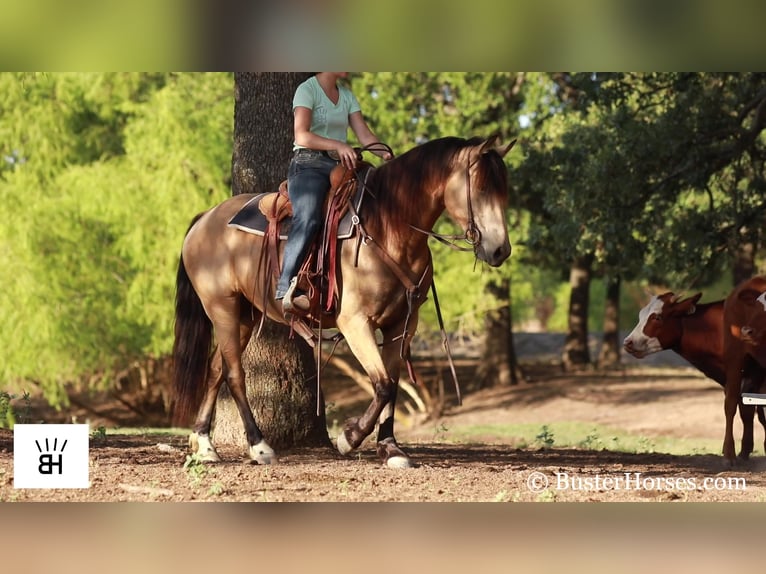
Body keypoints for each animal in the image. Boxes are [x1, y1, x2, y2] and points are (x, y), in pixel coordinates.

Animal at [176, 135, 516, 468]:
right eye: (482, 189)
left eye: (505, 190)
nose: (501, 250)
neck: (389, 227)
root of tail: (204, 219)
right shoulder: (355, 322)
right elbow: (382, 384)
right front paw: (349, 438)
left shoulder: (401, 325)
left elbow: (392, 384)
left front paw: (391, 448)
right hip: (222, 307)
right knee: (234, 374)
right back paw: (259, 447)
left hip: (244, 314)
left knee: (216, 369)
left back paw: (204, 444)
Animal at [624, 294, 766, 462]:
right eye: (641, 315)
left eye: (657, 317)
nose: (628, 342)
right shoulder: (749, 375)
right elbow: (747, 410)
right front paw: (744, 451)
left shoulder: (738, 368)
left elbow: (731, 406)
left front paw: (729, 454)